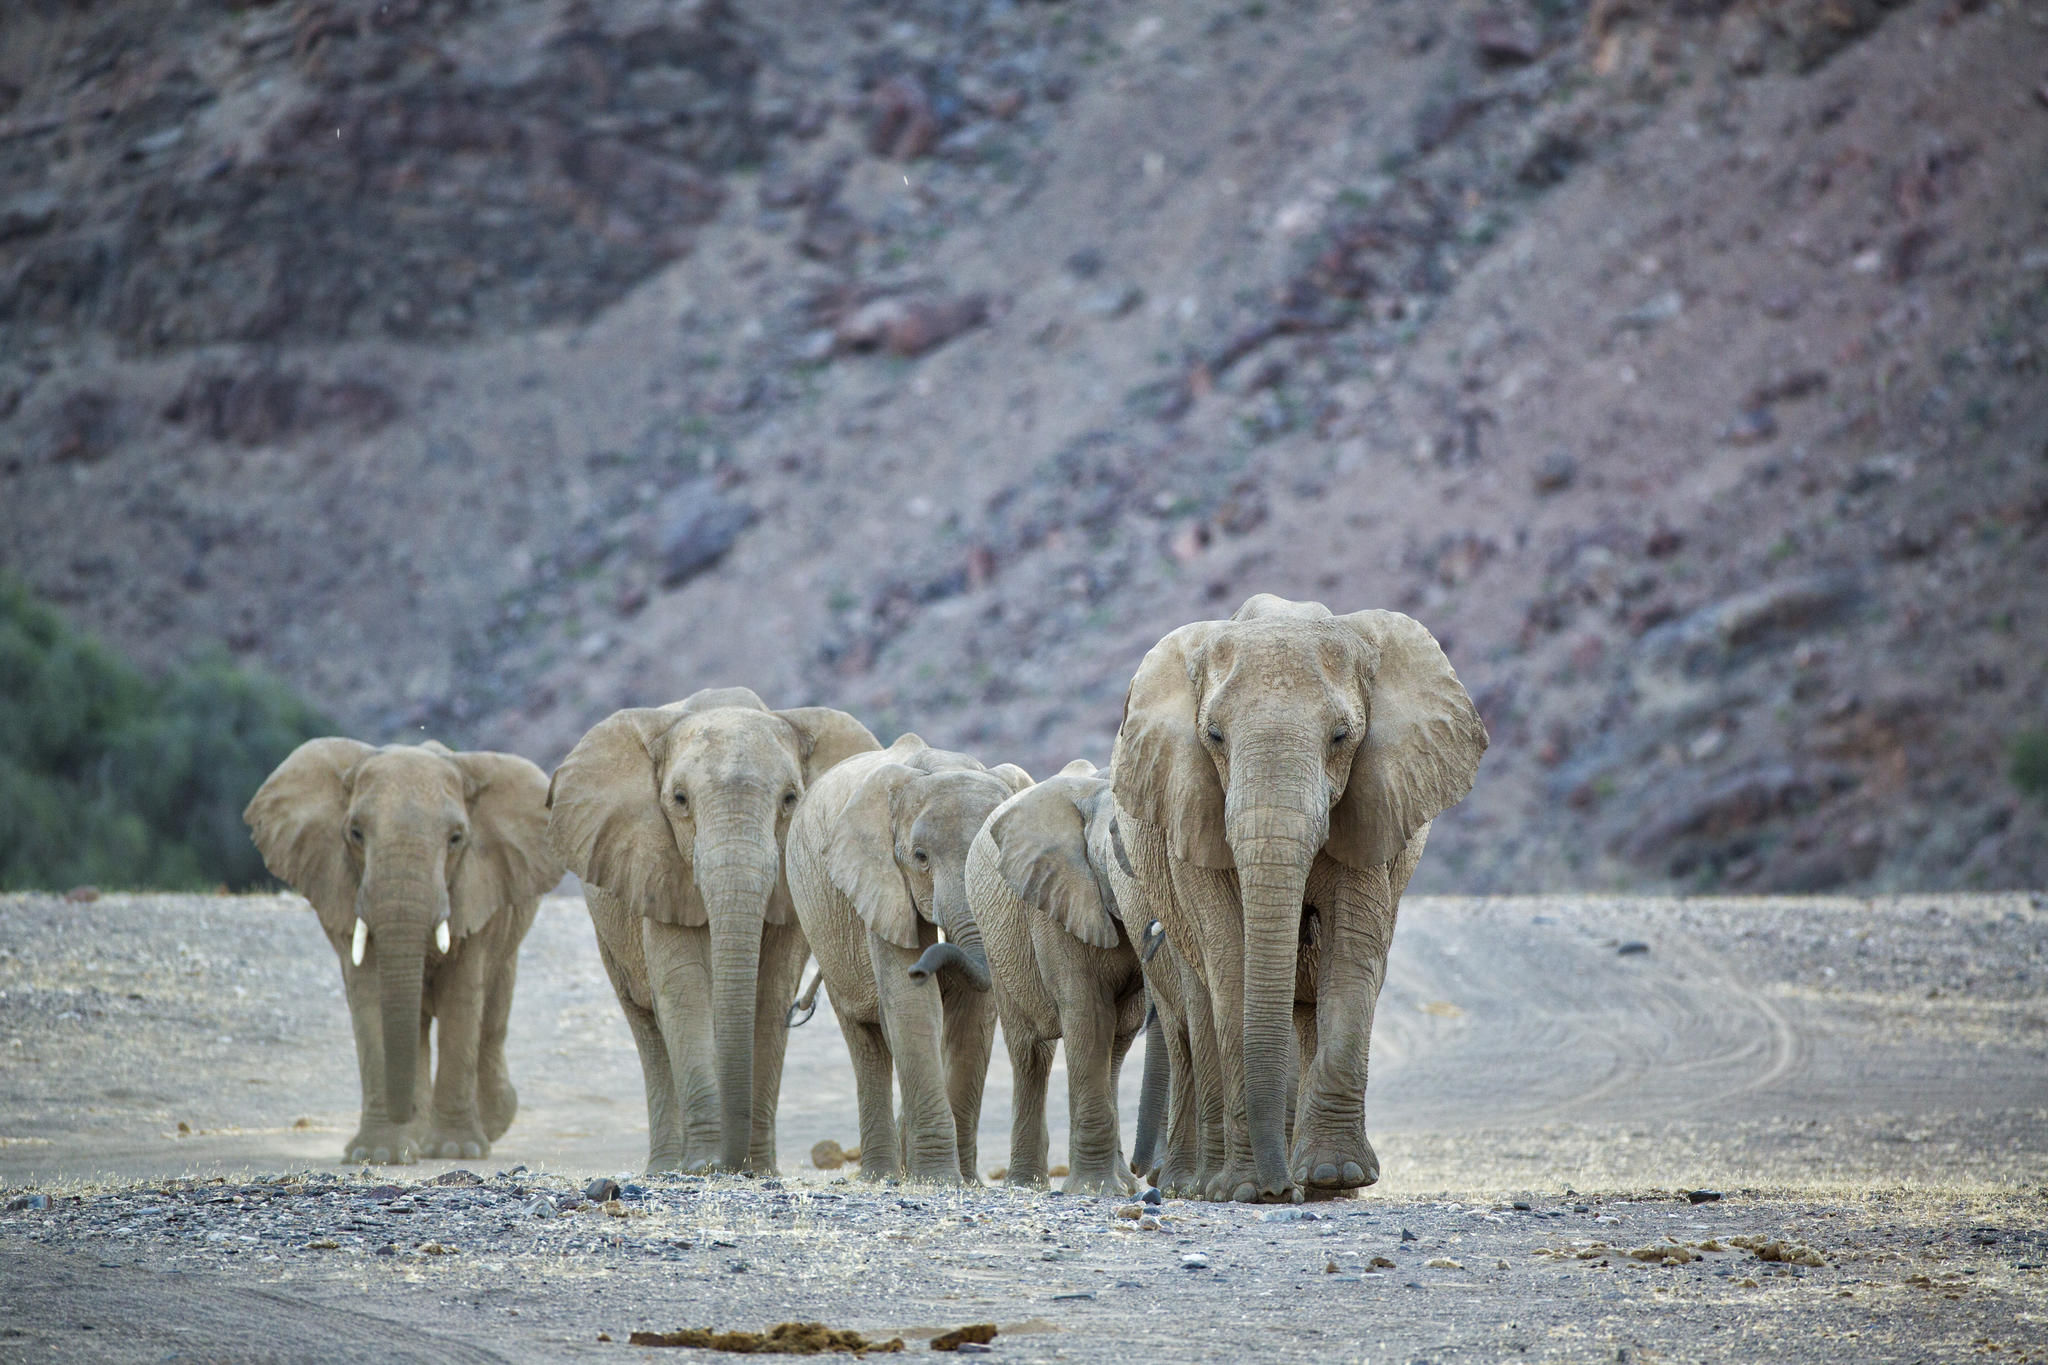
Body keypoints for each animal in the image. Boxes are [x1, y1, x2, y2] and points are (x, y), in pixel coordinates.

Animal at [244, 739, 560, 1164]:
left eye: (456, 838)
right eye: (355, 833)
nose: (400, 1112)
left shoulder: (479, 889)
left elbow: (462, 999)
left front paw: (455, 1150)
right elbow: (372, 999)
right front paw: (380, 1154)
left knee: (492, 1016)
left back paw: (486, 1123)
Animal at [545, 687, 878, 1174]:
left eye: (791, 799)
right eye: (680, 799)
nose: (730, 1164)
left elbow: (770, 992)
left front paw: (758, 1170)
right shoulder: (655, 865)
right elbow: (684, 990)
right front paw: (703, 1165)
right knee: (645, 1023)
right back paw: (666, 1167)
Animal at [784, 734, 1031, 1184]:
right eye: (920, 857)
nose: (923, 968)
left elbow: (973, 1015)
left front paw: (964, 1181)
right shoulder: (879, 879)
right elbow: (910, 1004)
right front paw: (938, 1179)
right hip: (822, 931)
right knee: (866, 1043)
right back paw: (881, 1175)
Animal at [968, 759, 1148, 1195]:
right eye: (1116, 843)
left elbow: (1113, 1028)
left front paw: (1110, 1189)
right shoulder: (1054, 902)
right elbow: (1088, 1015)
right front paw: (1095, 1192)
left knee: (1118, 1044)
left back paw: (1123, 1185)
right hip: (998, 942)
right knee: (1030, 1052)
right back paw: (1025, 1186)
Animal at [1109, 593, 1486, 1203]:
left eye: (1341, 737)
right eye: (1214, 736)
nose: (1279, 1191)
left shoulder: (1374, 805)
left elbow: (1352, 953)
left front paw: (1336, 1178)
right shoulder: (1189, 812)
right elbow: (1230, 955)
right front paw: (1245, 1190)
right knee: (1201, 999)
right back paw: (1212, 1184)